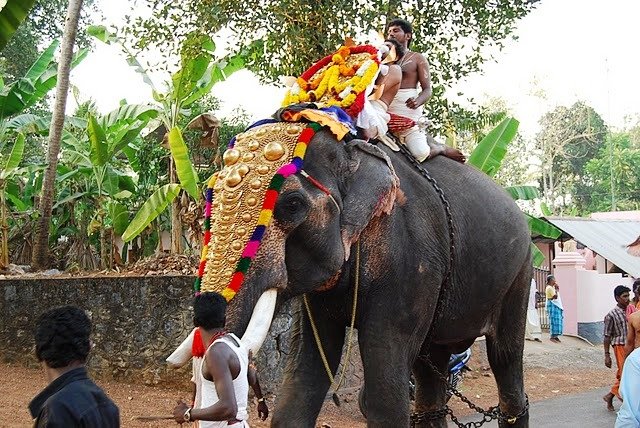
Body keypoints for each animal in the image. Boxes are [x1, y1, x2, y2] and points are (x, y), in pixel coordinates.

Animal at [199, 116, 528, 424]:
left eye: (292, 204)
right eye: (208, 197)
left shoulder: (411, 260)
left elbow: (384, 372)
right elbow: (306, 368)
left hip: (519, 274)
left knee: (504, 356)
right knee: (430, 365)